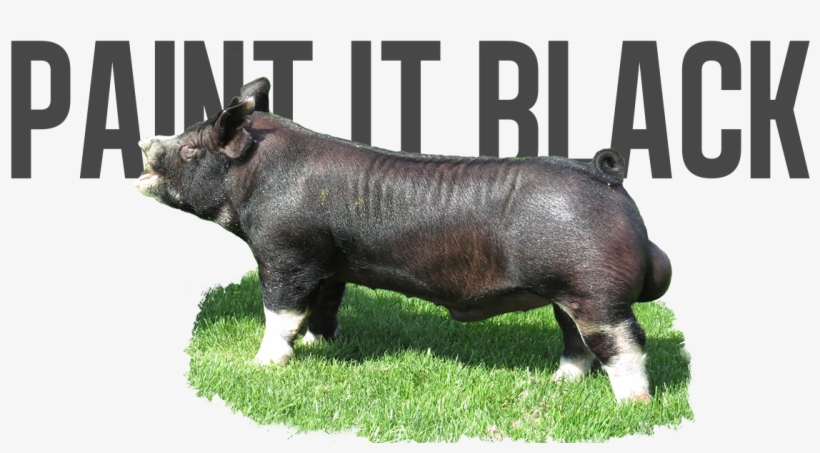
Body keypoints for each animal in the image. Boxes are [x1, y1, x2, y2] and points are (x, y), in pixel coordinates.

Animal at [137, 77, 671, 402]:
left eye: (190, 149)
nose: (145, 140)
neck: (256, 178)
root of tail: (605, 177)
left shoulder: (283, 253)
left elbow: (280, 313)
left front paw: (263, 364)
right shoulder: (328, 263)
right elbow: (323, 306)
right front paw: (318, 345)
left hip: (596, 290)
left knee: (624, 339)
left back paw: (633, 405)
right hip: (568, 292)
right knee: (576, 339)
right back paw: (558, 382)